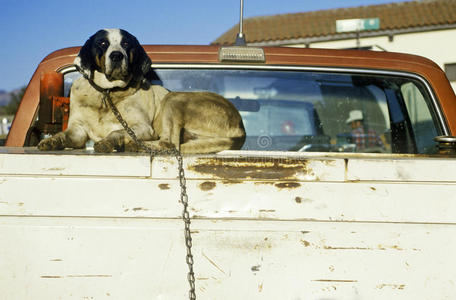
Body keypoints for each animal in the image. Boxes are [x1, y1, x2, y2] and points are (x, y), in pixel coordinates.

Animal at [37, 28, 246, 154]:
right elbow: (65, 135)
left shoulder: (143, 127)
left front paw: (109, 141)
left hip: (174, 98)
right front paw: (53, 140)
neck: (107, 93)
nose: (116, 55)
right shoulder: (78, 130)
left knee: (169, 143)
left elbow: (117, 131)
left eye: (126, 44)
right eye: (102, 43)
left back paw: (136, 145)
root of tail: (241, 128)